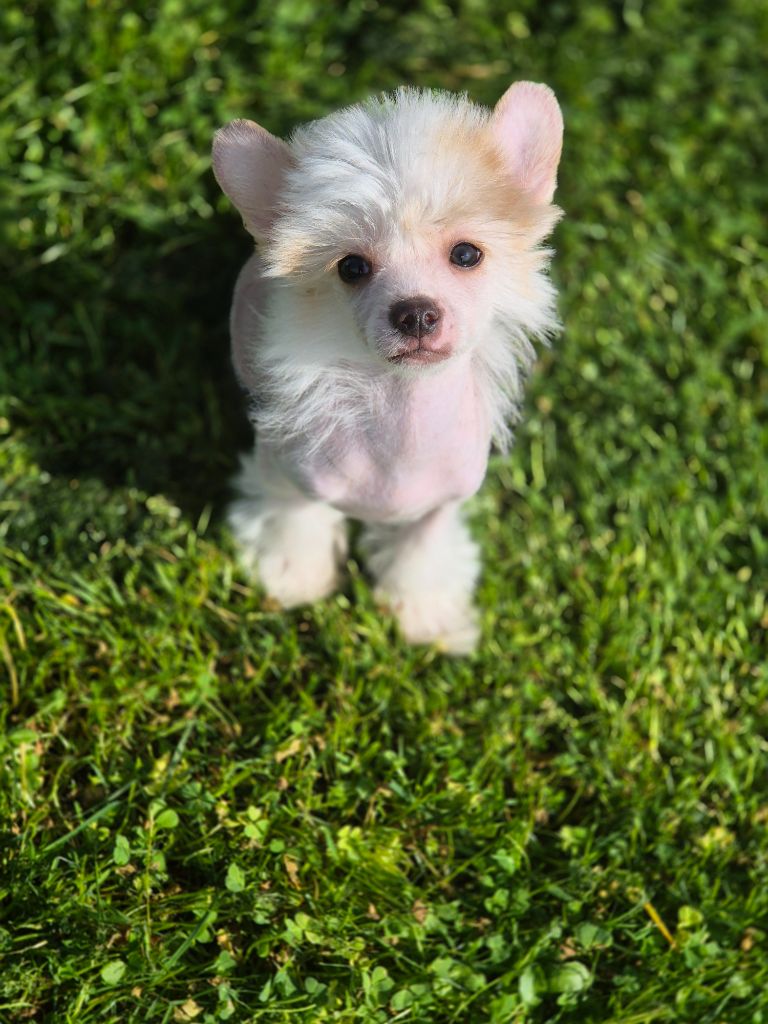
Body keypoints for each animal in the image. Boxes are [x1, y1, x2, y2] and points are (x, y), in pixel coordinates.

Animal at [214, 81, 561, 655]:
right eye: (351, 267)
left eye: (467, 254)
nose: (416, 312)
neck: (401, 409)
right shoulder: (287, 474)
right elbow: (294, 522)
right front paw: (294, 579)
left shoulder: (439, 508)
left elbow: (422, 557)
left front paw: (425, 618)